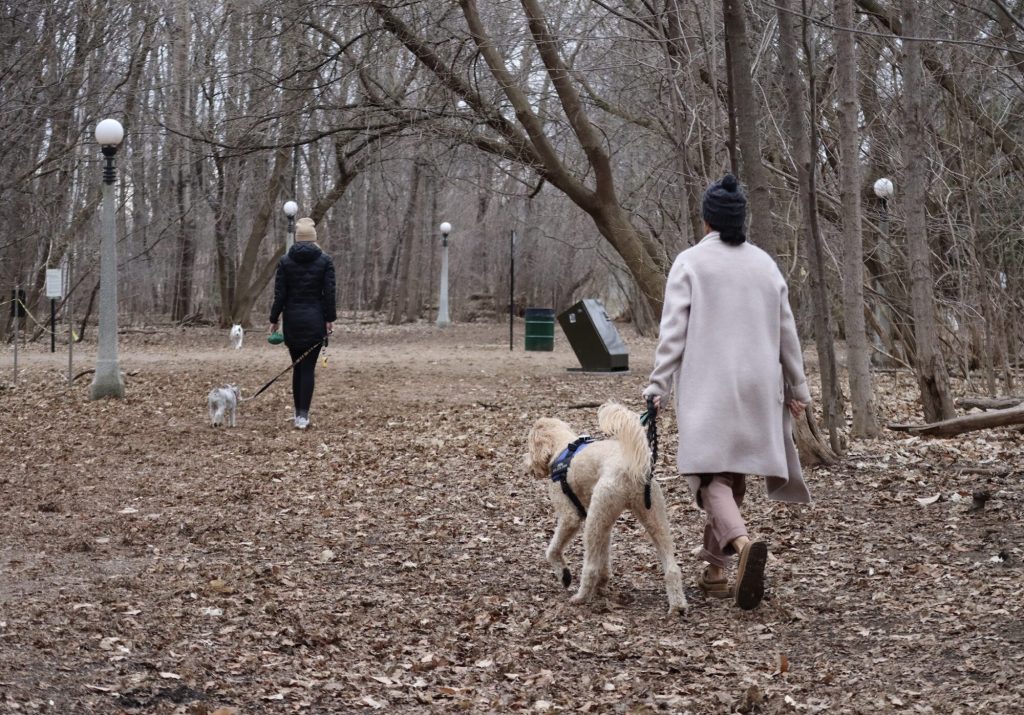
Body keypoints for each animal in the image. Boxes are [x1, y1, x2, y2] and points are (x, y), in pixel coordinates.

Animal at [528, 401, 688, 614]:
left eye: (529, 446)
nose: (526, 464)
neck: (562, 448)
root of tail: (632, 467)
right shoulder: (605, 521)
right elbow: (604, 555)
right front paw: (603, 581)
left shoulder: (571, 517)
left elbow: (553, 550)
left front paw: (564, 574)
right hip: (653, 518)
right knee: (672, 567)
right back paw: (678, 605)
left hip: (594, 521)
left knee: (589, 566)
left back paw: (581, 596)